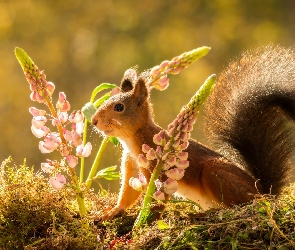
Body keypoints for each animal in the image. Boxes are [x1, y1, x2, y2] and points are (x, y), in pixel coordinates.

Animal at [92, 46, 295, 220]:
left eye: (119, 107)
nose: (93, 120)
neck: (132, 138)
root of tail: (263, 191)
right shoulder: (132, 166)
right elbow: (128, 193)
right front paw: (114, 211)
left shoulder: (158, 170)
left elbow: (157, 199)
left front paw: (146, 220)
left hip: (215, 173)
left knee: (242, 204)